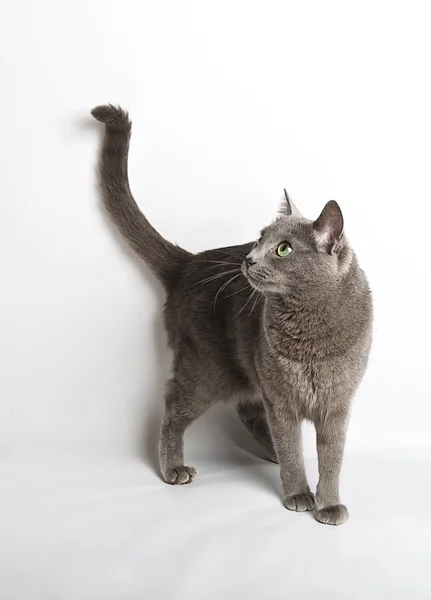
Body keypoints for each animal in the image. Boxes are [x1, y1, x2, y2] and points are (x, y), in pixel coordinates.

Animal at [92, 104, 374, 524]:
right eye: (259, 239)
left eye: (284, 249)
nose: (248, 258)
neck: (310, 325)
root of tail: (189, 263)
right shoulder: (281, 396)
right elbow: (292, 442)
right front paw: (297, 493)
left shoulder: (338, 401)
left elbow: (332, 456)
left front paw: (328, 503)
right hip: (208, 366)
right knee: (174, 405)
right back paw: (174, 468)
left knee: (248, 411)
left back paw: (271, 454)